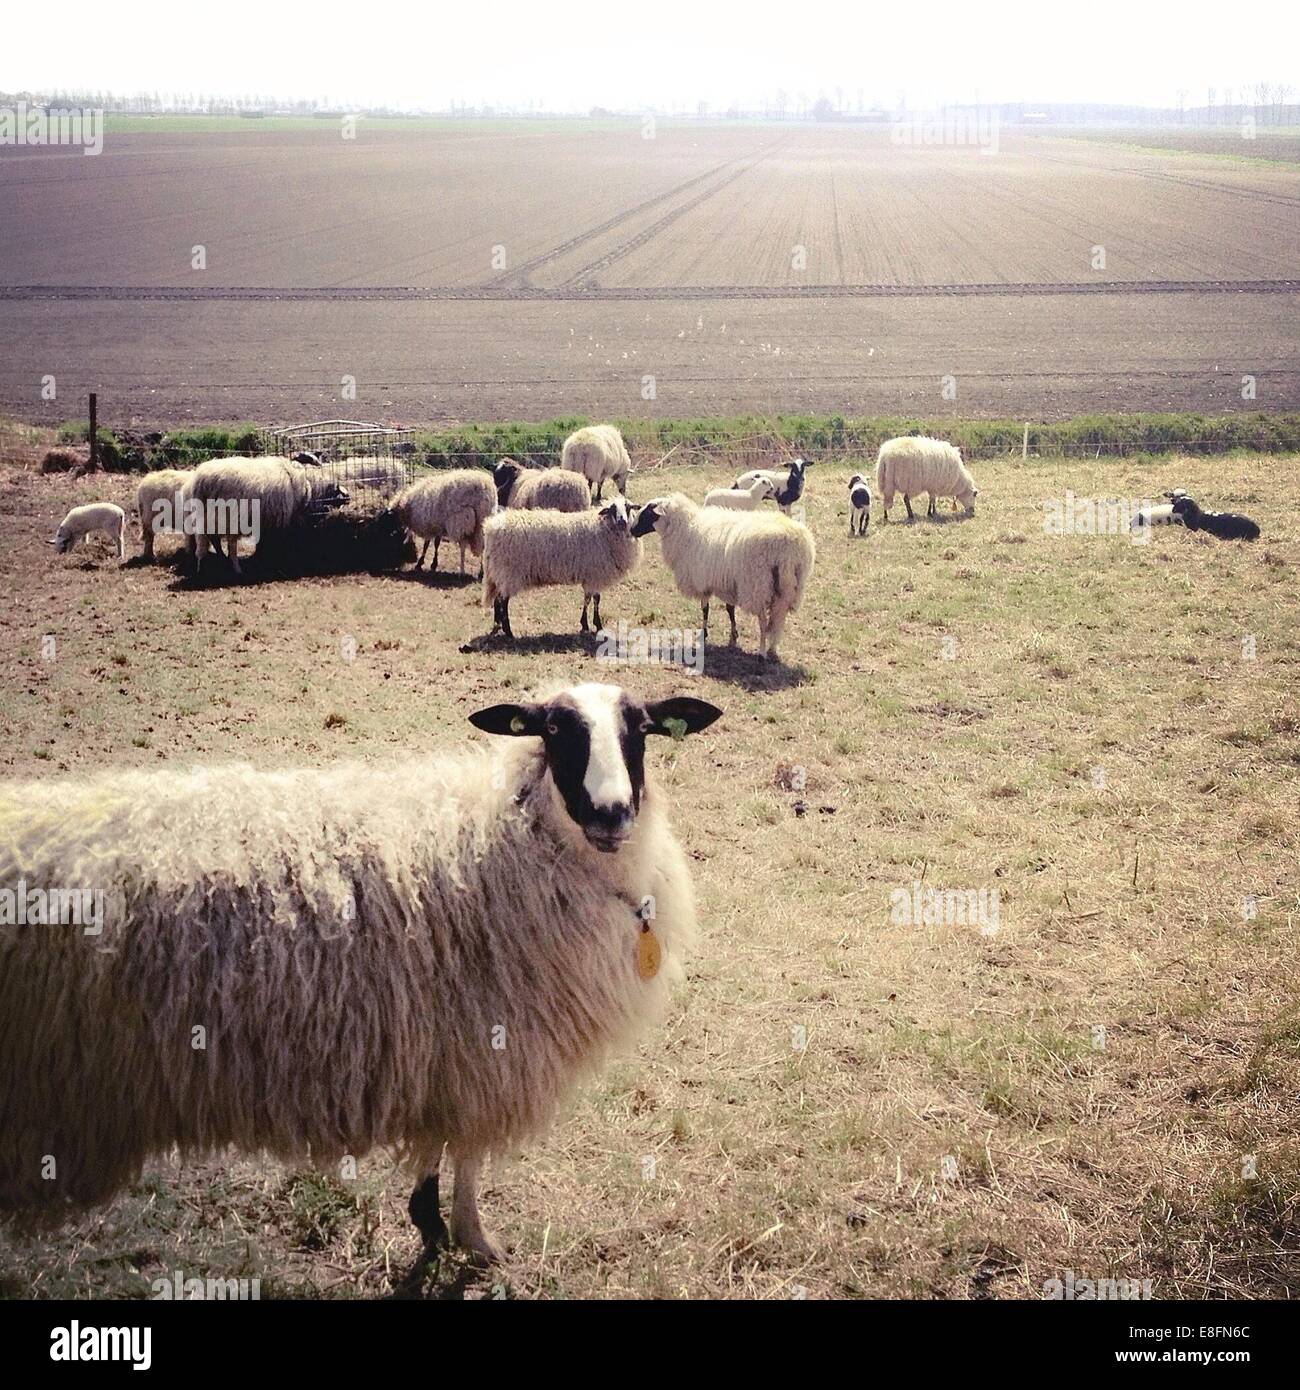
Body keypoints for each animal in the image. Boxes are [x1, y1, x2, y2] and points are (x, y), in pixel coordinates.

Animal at [0, 678, 722, 1267]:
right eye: (553, 729)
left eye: (641, 729)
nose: (611, 813)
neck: (514, 837)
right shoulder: (483, 1048)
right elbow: (467, 1152)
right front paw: (470, 1238)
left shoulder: (443, 1050)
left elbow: (440, 1143)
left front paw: (432, 1223)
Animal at [186, 455, 350, 575]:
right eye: (336, 490)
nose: (348, 497)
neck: (310, 488)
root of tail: (200, 481)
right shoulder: (286, 520)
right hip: (226, 517)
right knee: (221, 544)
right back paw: (228, 568)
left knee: (214, 540)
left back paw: (221, 560)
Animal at [481, 497, 642, 636]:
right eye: (613, 509)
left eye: (627, 507)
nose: (622, 520)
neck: (603, 528)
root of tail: (491, 527)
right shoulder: (595, 574)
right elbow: (595, 600)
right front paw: (596, 625)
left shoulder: (590, 575)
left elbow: (588, 598)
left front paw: (586, 624)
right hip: (508, 572)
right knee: (503, 601)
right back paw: (508, 631)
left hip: (499, 574)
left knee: (497, 600)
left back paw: (497, 627)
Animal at [628, 492, 811, 658]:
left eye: (648, 513)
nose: (632, 530)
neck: (686, 528)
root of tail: (788, 545)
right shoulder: (728, 582)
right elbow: (730, 609)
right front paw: (733, 636)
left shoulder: (702, 580)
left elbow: (705, 609)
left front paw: (704, 633)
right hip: (789, 587)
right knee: (779, 617)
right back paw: (773, 649)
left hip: (757, 585)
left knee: (763, 621)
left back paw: (762, 651)